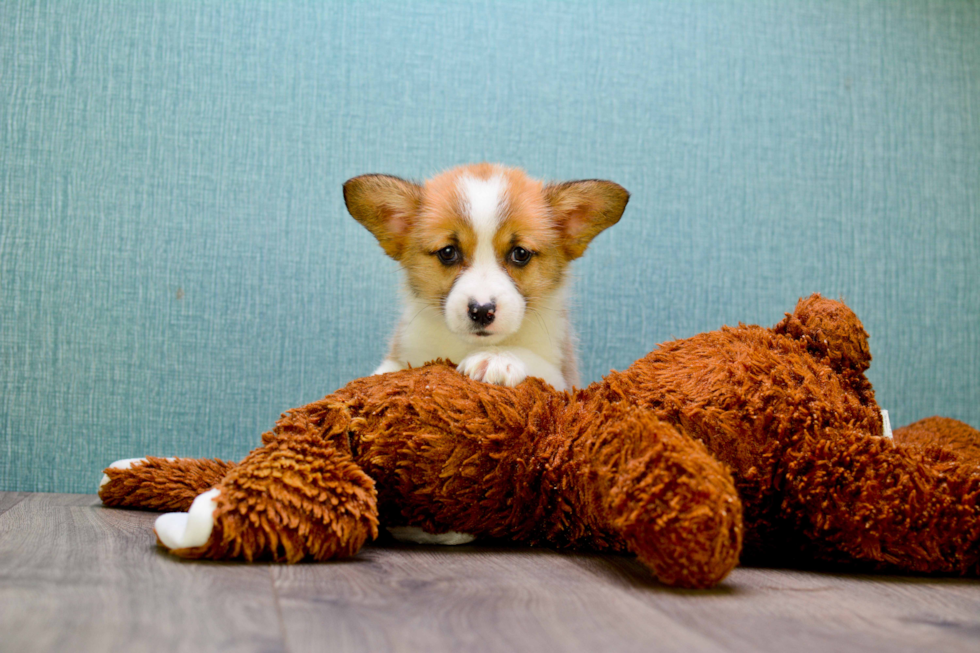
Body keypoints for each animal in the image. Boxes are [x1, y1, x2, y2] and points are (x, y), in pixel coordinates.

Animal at [342, 166, 628, 394]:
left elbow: (531, 358)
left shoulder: (564, 378)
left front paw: (495, 358)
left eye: (520, 254)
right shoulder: (405, 353)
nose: (481, 311)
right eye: (448, 252)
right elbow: (386, 372)